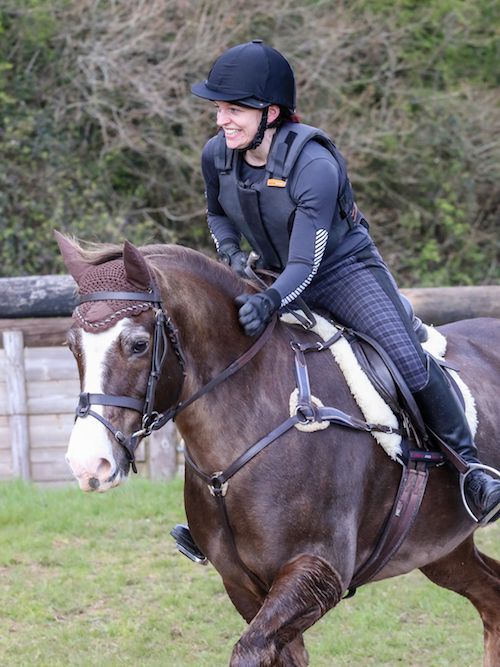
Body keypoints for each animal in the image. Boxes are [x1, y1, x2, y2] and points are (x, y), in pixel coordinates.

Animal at [56, 232, 500, 667]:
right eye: (72, 346)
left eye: (138, 344)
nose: (88, 465)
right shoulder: (243, 585)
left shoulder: (316, 572)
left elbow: (249, 652)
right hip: (441, 548)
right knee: (490, 598)